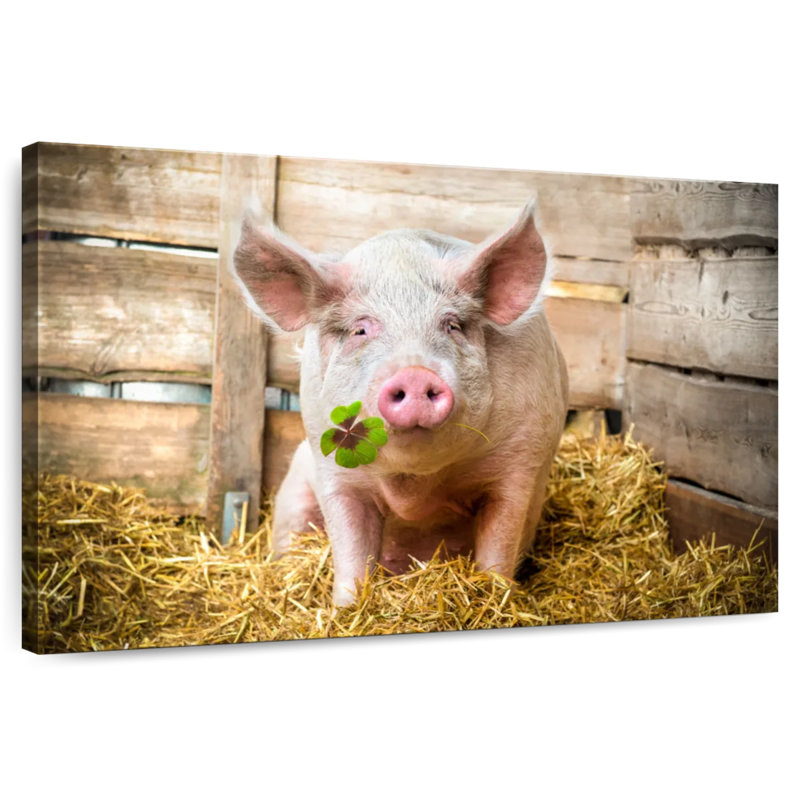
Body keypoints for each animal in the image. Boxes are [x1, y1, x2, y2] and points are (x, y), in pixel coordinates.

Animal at [233, 201, 568, 606]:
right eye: (361, 329)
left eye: (452, 325)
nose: (414, 373)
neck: (416, 485)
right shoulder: (332, 469)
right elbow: (350, 550)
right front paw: (346, 608)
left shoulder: (521, 463)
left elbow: (499, 545)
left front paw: (493, 597)